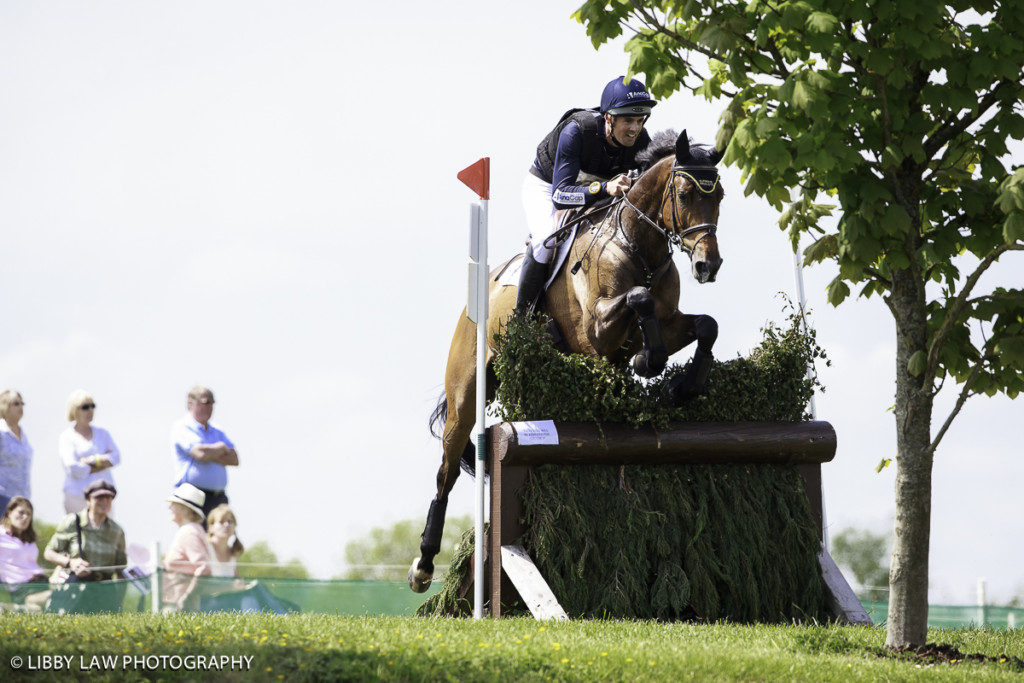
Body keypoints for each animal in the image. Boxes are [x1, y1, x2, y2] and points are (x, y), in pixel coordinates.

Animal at [409, 127, 729, 593]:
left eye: (719, 194)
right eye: (686, 193)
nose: (708, 265)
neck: (637, 245)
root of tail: (479, 297)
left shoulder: (668, 324)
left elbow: (705, 326)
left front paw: (681, 385)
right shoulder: (596, 329)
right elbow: (639, 297)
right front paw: (648, 363)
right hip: (465, 394)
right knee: (446, 470)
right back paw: (423, 565)